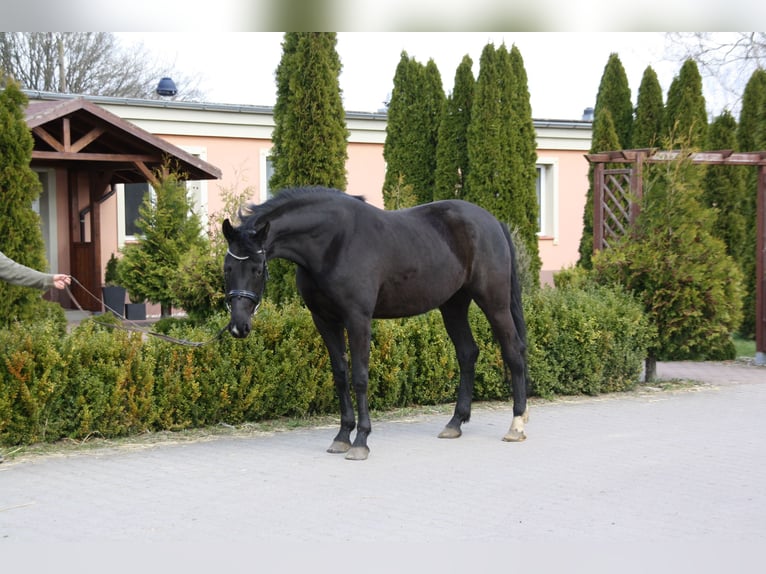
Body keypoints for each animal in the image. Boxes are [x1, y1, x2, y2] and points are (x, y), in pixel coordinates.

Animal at [225, 189, 532, 464]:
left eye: (257, 268)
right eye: (227, 267)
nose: (239, 326)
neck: (333, 242)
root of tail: (493, 222)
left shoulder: (358, 318)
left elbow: (360, 377)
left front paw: (361, 441)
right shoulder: (324, 320)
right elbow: (340, 375)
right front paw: (341, 437)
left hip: (494, 302)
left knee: (513, 351)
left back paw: (516, 424)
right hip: (453, 304)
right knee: (467, 353)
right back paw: (455, 423)